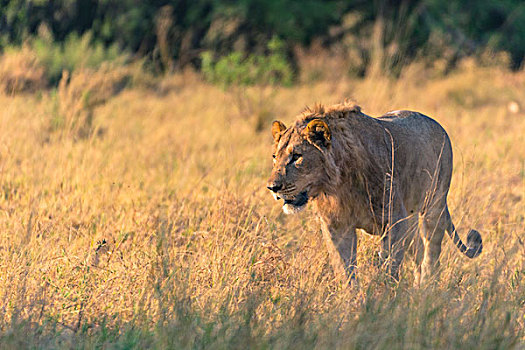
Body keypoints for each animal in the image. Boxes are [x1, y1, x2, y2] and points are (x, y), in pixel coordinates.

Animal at [268, 100, 482, 284]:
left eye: (297, 156)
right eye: (275, 157)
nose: (272, 187)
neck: (338, 186)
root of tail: (438, 125)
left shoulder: (395, 221)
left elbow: (388, 267)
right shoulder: (336, 227)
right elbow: (345, 272)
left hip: (434, 205)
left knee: (431, 253)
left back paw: (426, 289)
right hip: (411, 218)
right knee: (419, 252)